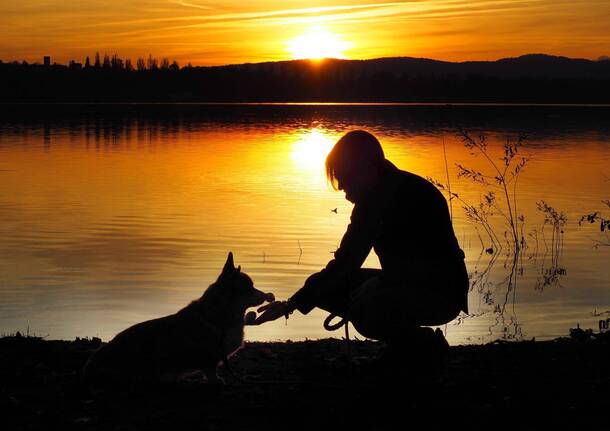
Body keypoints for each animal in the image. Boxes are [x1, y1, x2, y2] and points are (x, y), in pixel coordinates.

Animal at [82, 253, 272, 384]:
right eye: (250, 288)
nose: (266, 296)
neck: (217, 314)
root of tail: (89, 367)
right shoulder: (210, 359)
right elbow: (211, 371)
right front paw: (217, 381)